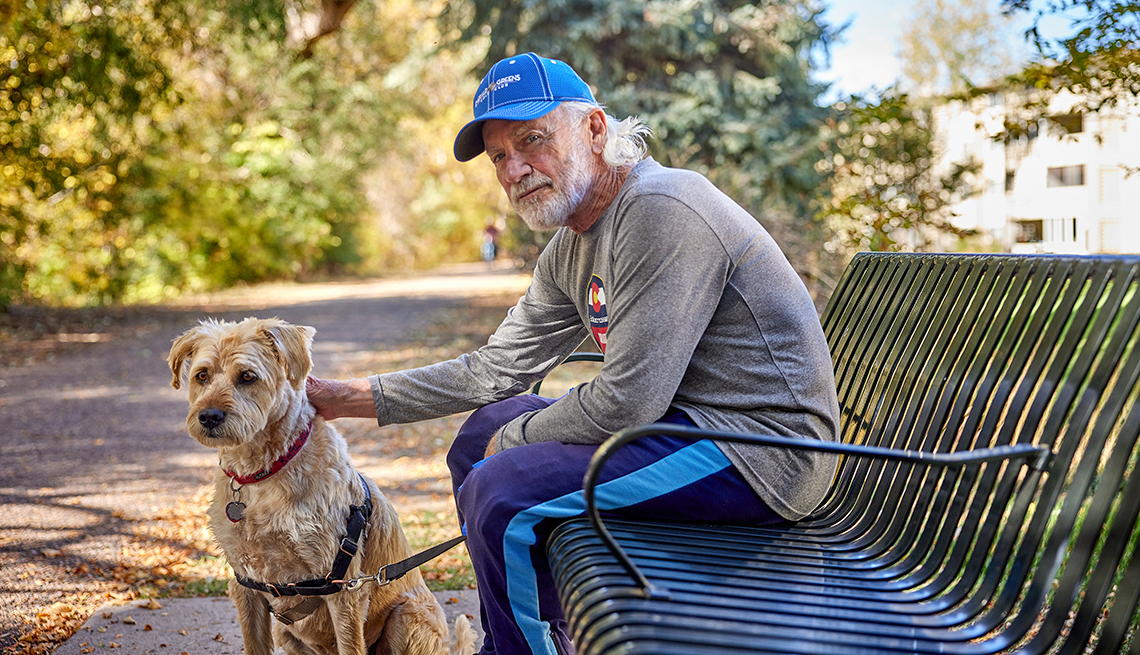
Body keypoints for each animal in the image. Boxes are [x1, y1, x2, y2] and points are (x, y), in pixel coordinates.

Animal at [166, 318, 476, 655]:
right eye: (202, 375)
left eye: (247, 376)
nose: (209, 416)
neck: (263, 472)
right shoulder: (245, 585)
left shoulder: (343, 586)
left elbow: (351, 646)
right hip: (286, 633)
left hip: (407, 616)